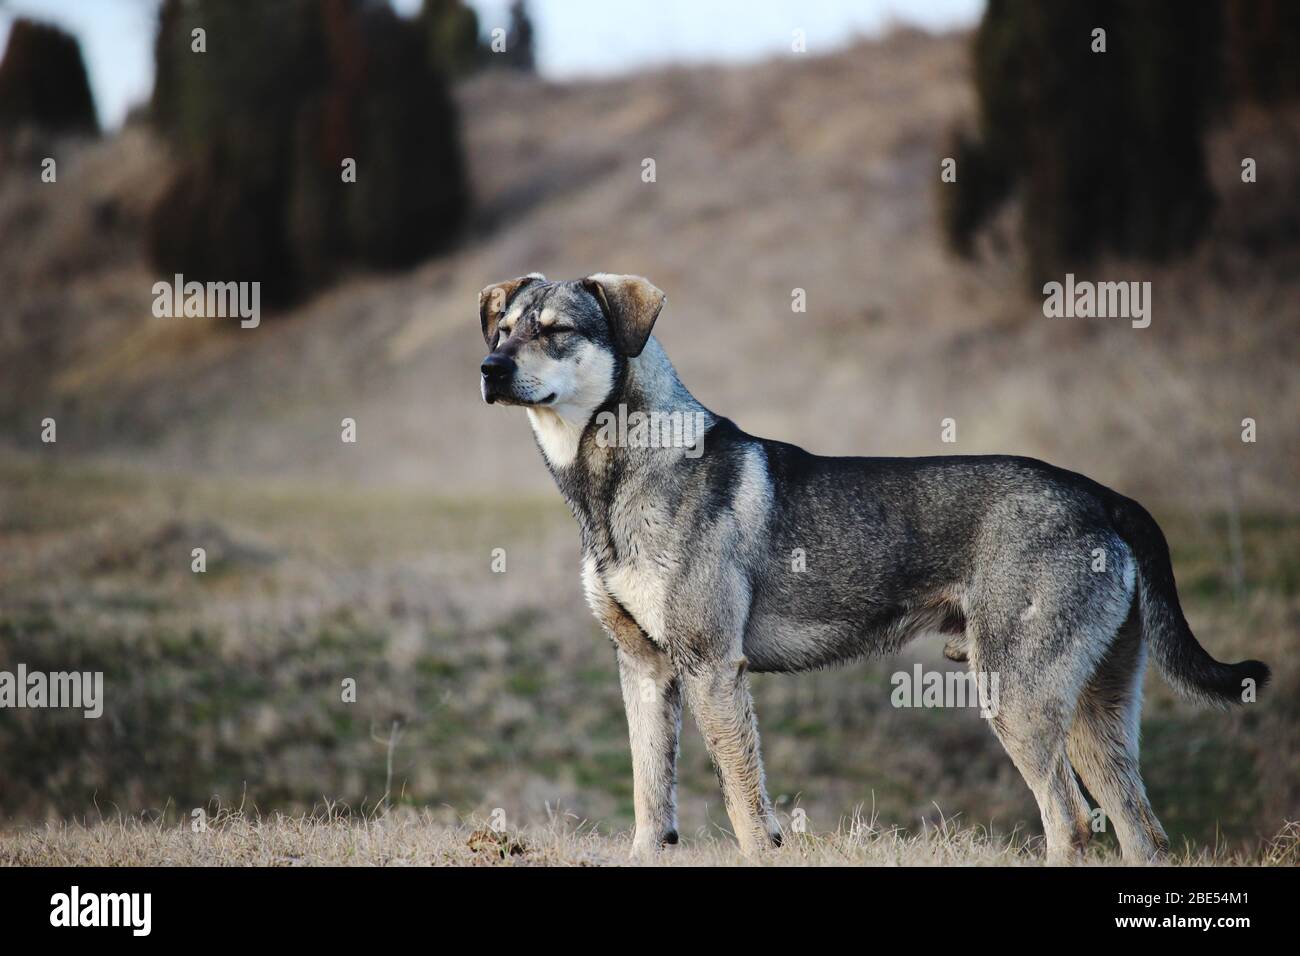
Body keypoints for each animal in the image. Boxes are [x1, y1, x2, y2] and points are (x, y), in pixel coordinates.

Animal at [478, 273, 1268, 863]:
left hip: (1018, 699)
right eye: (501, 329)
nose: (490, 369)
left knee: (1070, 825)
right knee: (1141, 831)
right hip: (1092, 714)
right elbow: (649, 801)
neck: (613, 478)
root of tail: (1107, 497)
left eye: (556, 329)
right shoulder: (644, 670)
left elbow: (745, 809)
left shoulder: (713, 668)